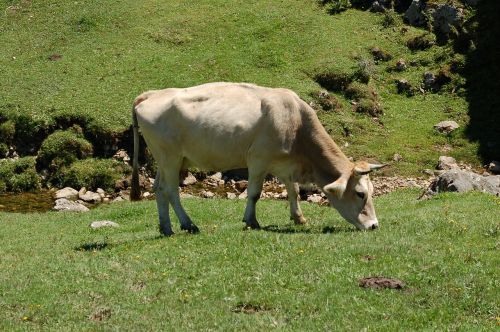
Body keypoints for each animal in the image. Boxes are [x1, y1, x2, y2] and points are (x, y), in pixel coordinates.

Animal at [131, 82, 384, 236]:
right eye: (360, 194)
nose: (374, 225)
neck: (296, 123)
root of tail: (151, 94)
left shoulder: (284, 164)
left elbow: (293, 191)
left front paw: (298, 218)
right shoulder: (258, 160)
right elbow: (254, 193)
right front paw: (251, 221)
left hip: (168, 160)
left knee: (158, 188)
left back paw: (166, 228)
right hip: (170, 158)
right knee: (170, 190)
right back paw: (188, 224)